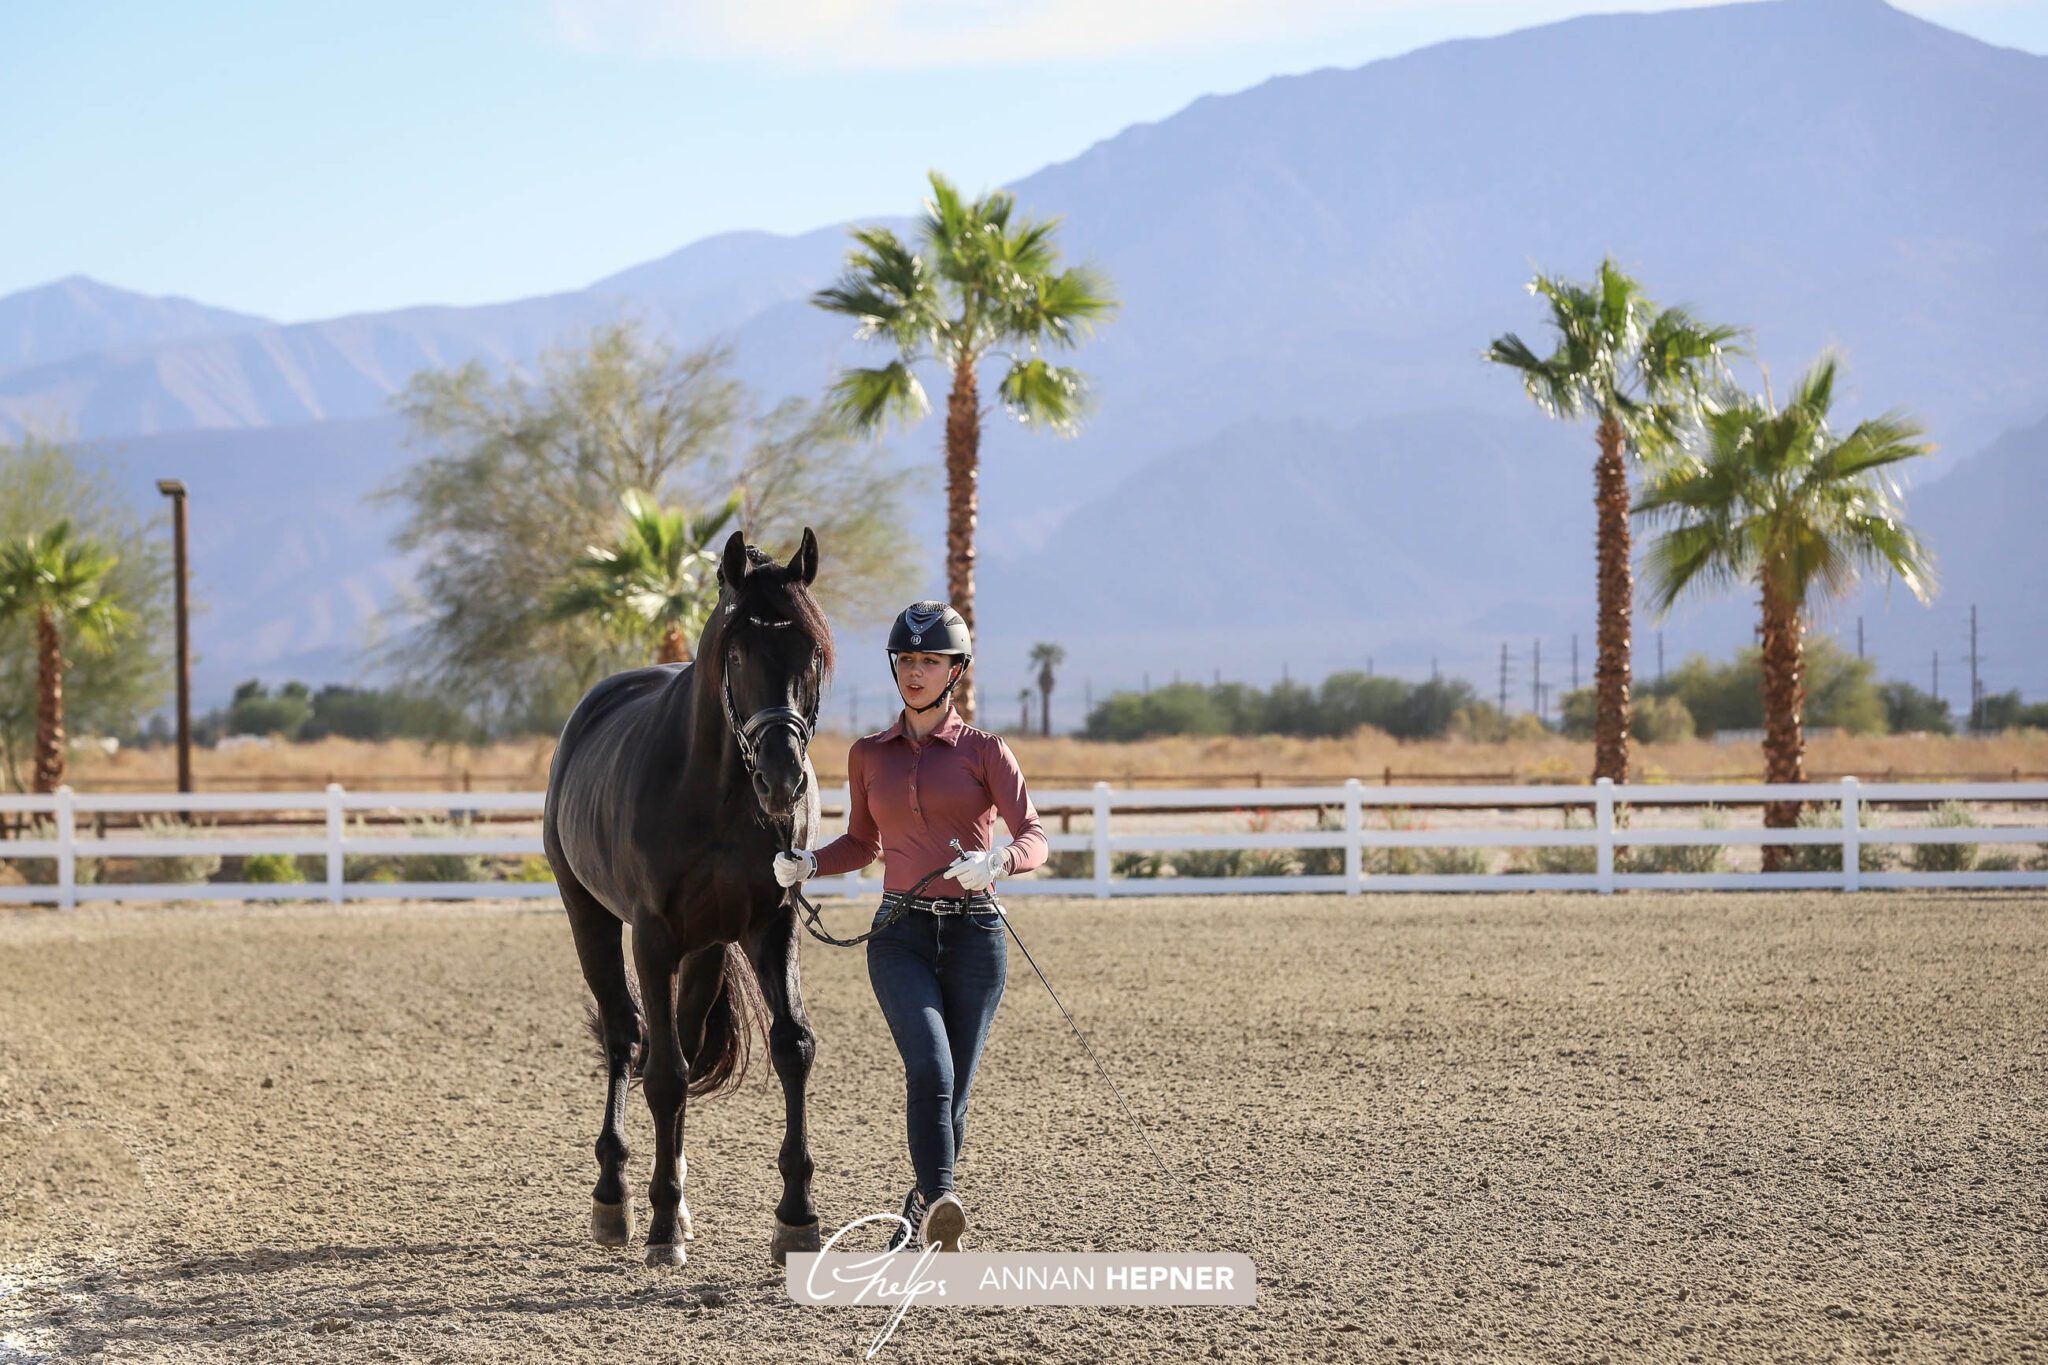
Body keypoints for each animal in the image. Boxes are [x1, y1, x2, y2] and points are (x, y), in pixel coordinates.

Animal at [542, 527, 832, 1268]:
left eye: (813, 653)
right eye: (738, 651)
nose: (784, 778)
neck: (719, 792)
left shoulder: (770, 923)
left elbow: (793, 1046)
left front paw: (796, 1217)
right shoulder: (652, 935)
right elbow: (664, 1074)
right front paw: (660, 1225)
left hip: (707, 946)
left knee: (688, 1037)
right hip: (589, 915)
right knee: (627, 1038)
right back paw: (616, 1198)